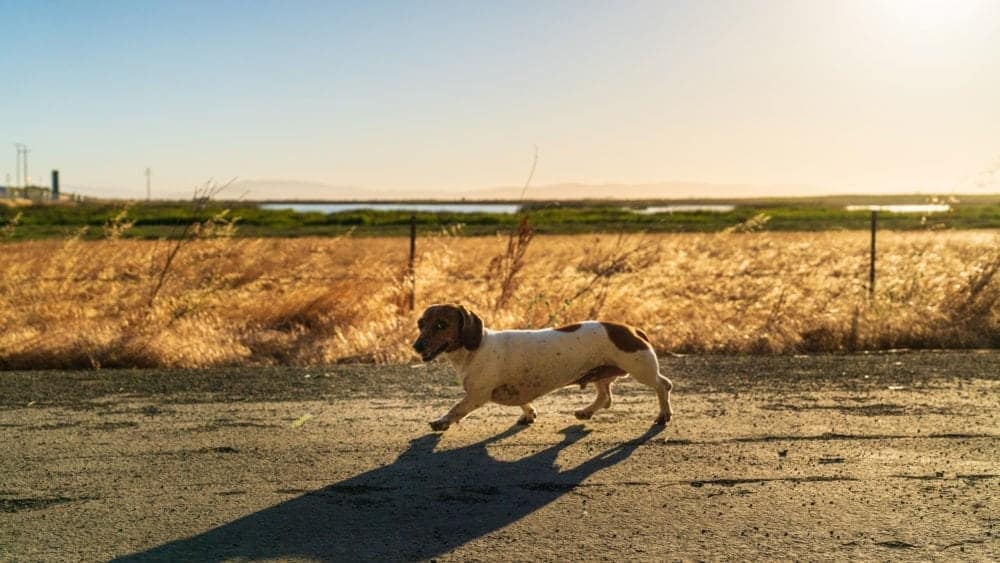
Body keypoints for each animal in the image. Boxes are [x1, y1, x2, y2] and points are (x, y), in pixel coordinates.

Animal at [410, 304, 676, 432]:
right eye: (421, 324)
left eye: (441, 325)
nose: (416, 346)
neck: (476, 348)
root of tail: (632, 329)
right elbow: (524, 402)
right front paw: (528, 414)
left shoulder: (478, 394)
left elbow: (457, 409)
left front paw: (442, 421)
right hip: (601, 373)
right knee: (605, 397)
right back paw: (586, 411)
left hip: (641, 368)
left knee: (663, 385)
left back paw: (663, 415)